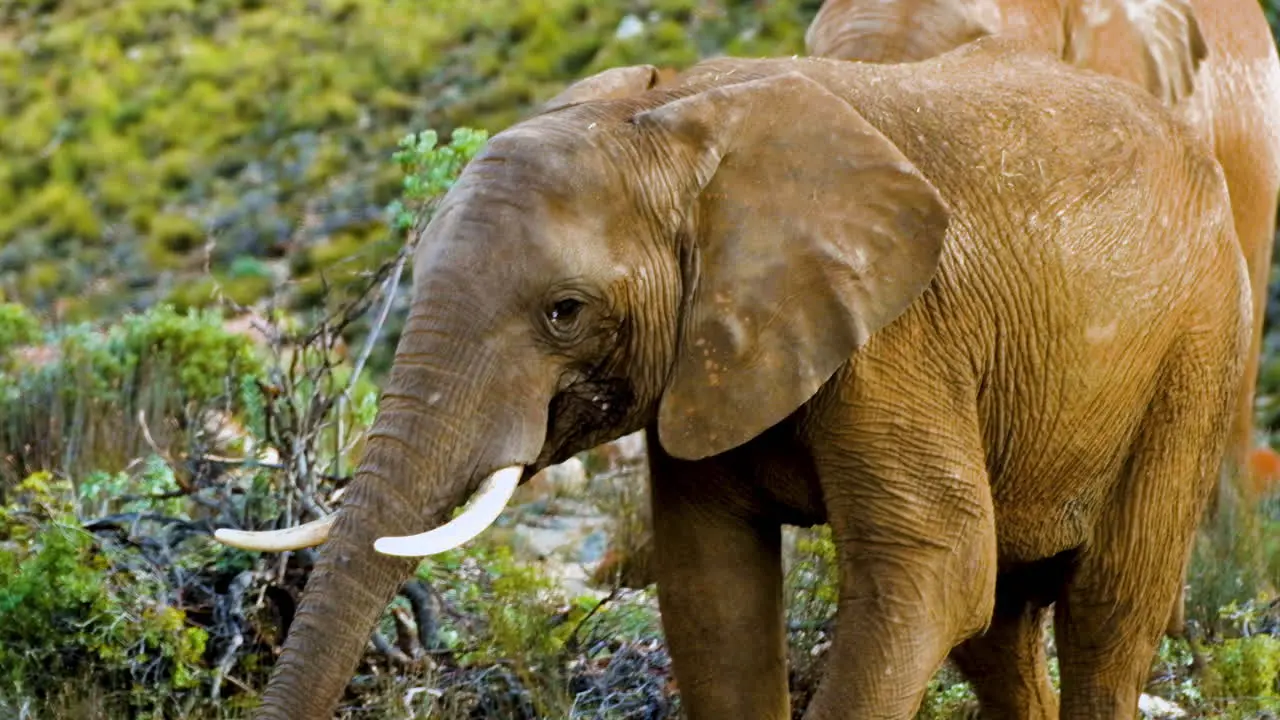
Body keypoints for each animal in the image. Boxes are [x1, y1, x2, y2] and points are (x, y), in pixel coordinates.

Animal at [217, 39, 1249, 717]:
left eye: (565, 312)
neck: (672, 125)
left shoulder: (897, 335)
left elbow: (933, 570)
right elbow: (712, 588)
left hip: (1200, 354)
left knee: (1106, 617)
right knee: (1001, 634)